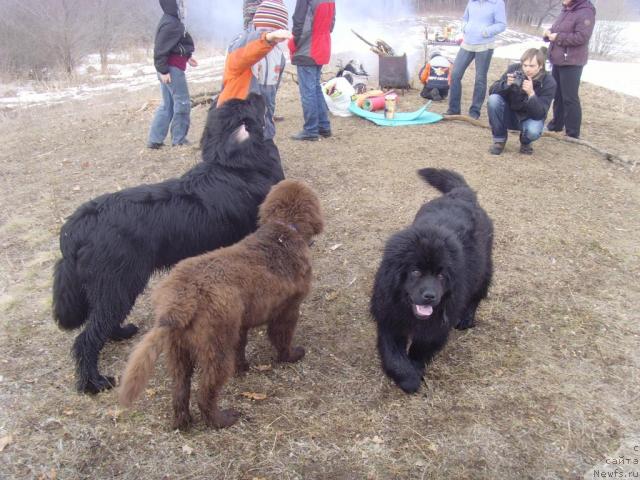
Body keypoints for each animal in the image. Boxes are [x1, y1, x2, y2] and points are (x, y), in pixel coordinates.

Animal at [53, 93, 284, 394]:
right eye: (249, 103)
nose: (258, 94)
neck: (234, 166)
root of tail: (74, 228)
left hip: (108, 287)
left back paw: (120, 333)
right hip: (120, 284)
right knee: (87, 338)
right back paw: (93, 382)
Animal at [118, 178, 322, 430]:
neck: (284, 229)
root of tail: (179, 301)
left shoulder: (241, 322)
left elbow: (241, 347)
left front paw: (242, 367)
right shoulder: (287, 310)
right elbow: (282, 339)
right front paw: (291, 356)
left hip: (178, 351)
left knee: (180, 389)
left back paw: (183, 422)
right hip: (216, 348)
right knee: (205, 392)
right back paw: (221, 420)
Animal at [370, 169, 496, 394]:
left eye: (441, 275)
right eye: (415, 271)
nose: (430, 296)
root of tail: (462, 194)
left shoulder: (437, 325)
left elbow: (420, 350)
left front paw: (415, 372)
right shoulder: (389, 316)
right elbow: (394, 357)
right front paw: (408, 379)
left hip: (484, 266)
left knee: (478, 293)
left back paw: (466, 318)